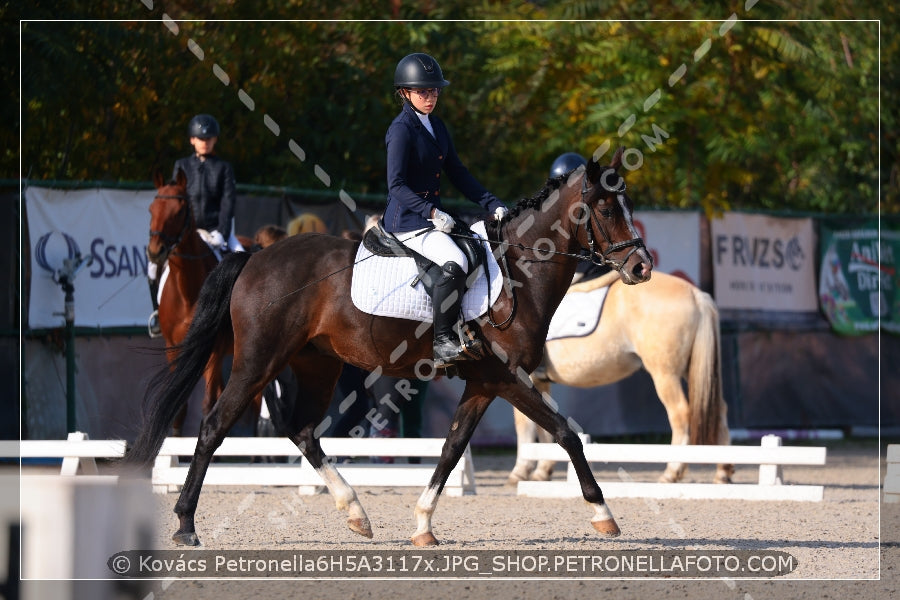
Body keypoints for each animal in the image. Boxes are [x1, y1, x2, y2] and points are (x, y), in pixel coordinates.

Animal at [123, 146, 652, 548]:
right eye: (607, 210)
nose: (642, 267)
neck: (519, 273)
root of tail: (253, 257)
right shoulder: (506, 378)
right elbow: (566, 434)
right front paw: (604, 515)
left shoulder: (483, 383)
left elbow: (451, 449)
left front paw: (422, 525)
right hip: (258, 362)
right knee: (215, 426)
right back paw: (185, 525)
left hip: (317, 365)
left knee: (303, 429)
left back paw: (355, 512)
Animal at [510, 270, 736, 486]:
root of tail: (695, 294)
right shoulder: (538, 381)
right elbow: (541, 425)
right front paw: (542, 470)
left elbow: (525, 425)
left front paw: (521, 471)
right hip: (691, 370)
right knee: (720, 409)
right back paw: (723, 472)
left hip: (665, 374)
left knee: (680, 414)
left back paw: (672, 472)